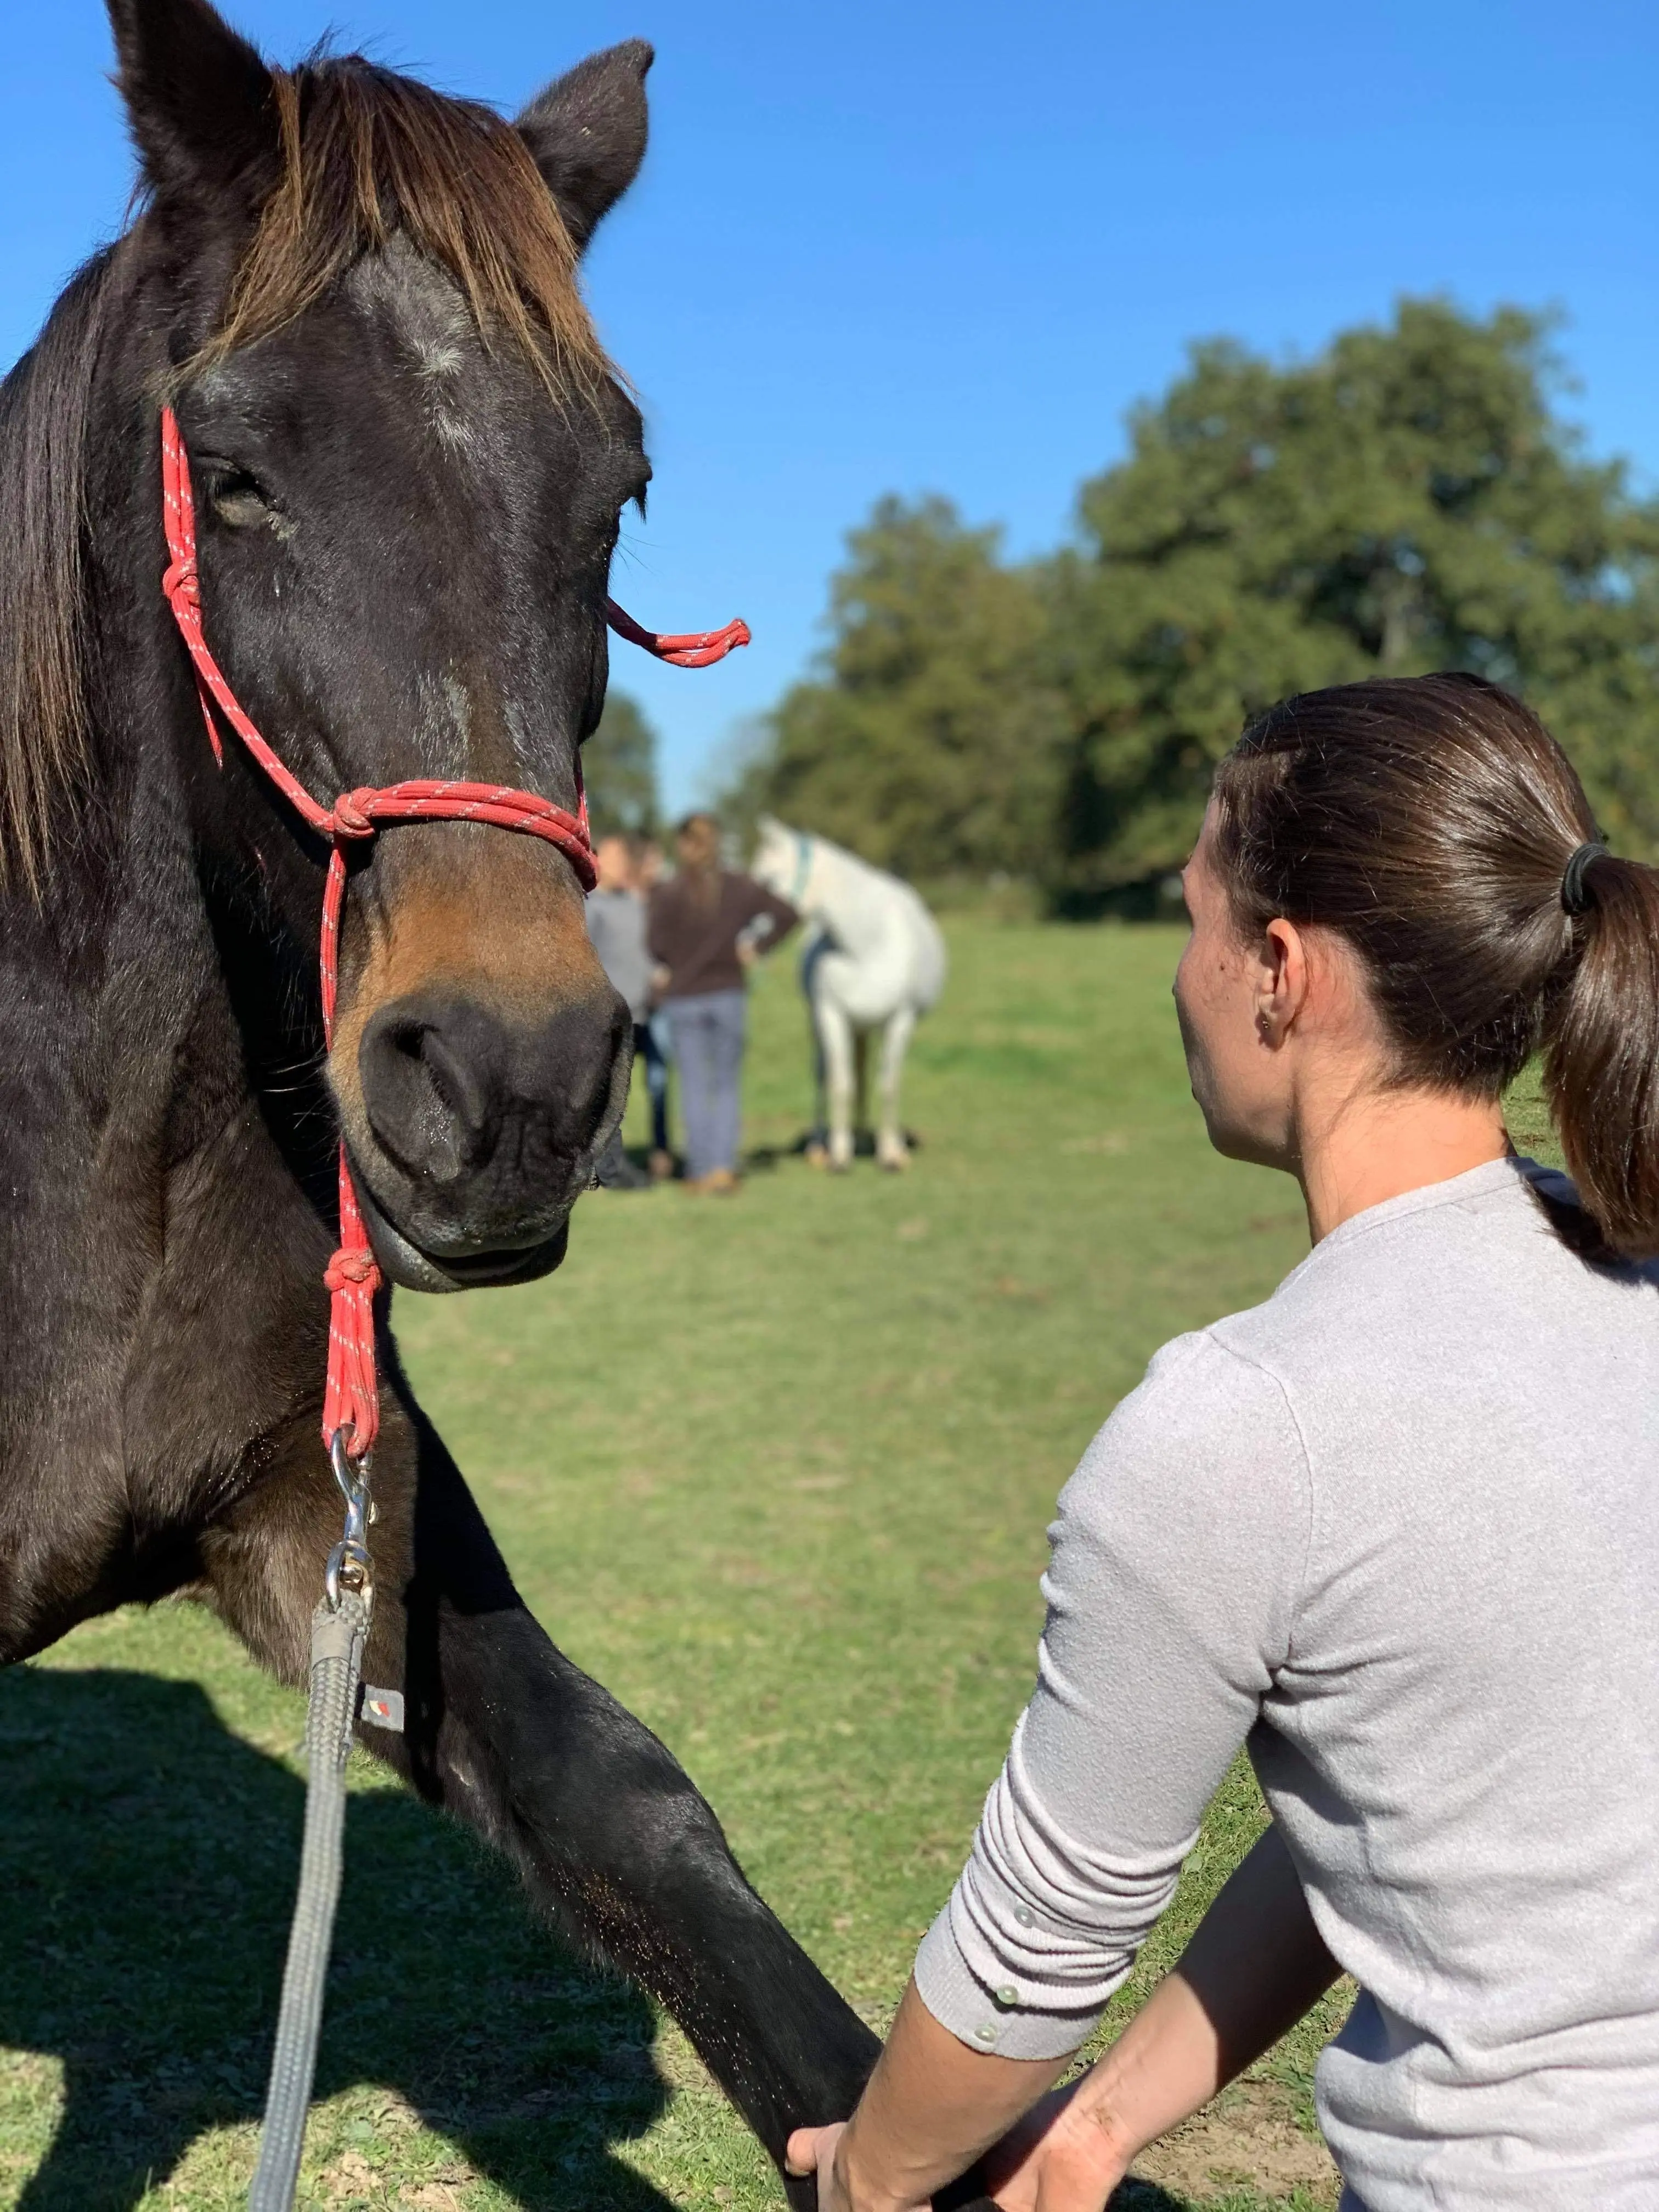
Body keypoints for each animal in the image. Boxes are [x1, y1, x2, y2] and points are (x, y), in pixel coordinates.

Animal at [750, 819, 947, 1171]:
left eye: (767, 880)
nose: (743, 945)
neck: (868, 944)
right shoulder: (832, 1016)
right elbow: (840, 1083)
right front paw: (840, 1156)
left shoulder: (901, 1020)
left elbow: (888, 1085)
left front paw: (890, 1154)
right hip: (823, 1023)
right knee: (824, 1075)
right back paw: (821, 1145)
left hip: (866, 1028)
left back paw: (869, 1138)